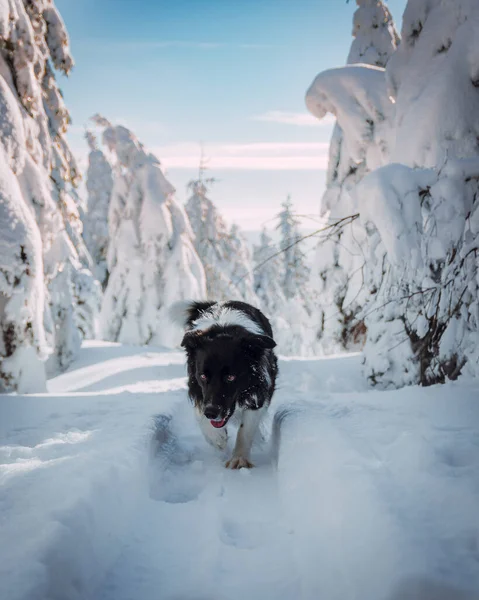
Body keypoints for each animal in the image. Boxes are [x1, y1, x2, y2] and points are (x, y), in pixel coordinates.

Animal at [174, 300, 280, 468]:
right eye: (203, 376)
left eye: (230, 377)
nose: (211, 413)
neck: (223, 329)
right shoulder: (197, 388)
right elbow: (200, 414)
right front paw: (217, 438)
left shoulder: (259, 392)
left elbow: (246, 429)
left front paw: (240, 458)